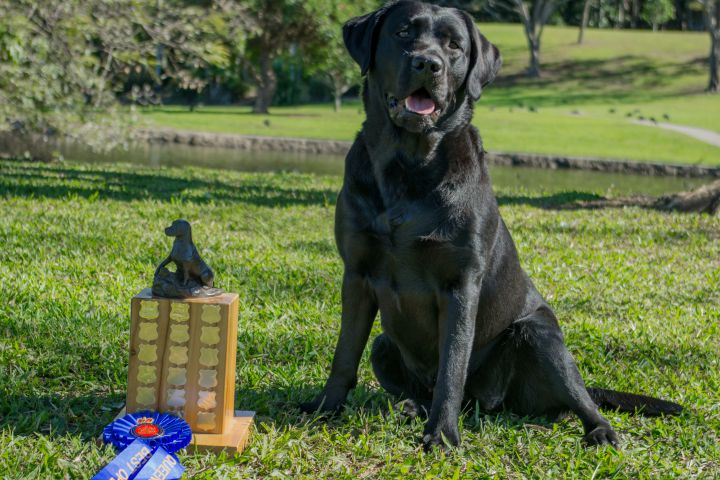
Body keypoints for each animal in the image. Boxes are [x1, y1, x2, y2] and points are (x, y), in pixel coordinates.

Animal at [300, 0, 684, 450]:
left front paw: (443, 435)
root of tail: (485, 404)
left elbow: (452, 366)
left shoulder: (461, 284)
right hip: (384, 345)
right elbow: (344, 354)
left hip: (540, 336)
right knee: (405, 374)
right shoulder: (357, 274)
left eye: (454, 46)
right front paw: (325, 408)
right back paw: (413, 407)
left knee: (580, 399)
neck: (408, 165)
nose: (428, 63)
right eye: (402, 32)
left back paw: (600, 431)